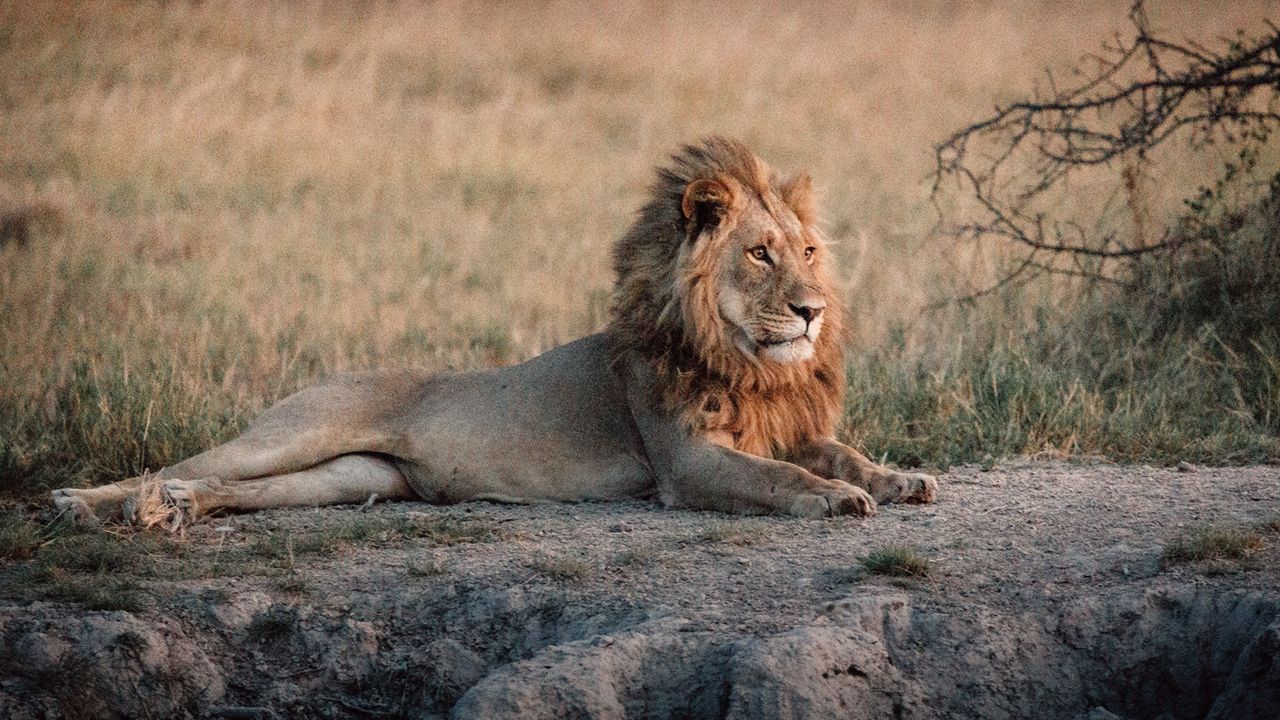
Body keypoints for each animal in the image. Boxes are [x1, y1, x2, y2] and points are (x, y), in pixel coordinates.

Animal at [52, 137, 937, 525]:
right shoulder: (686, 459)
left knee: (235, 491)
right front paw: (836, 499)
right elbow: (777, 478)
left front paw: (899, 479)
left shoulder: (790, 426)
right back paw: (86, 503)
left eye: (810, 252)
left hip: (357, 477)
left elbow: (844, 451)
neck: (750, 363)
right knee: (183, 465)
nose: (812, 310)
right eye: (759, 253)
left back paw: (178, 509)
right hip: (299, 431)